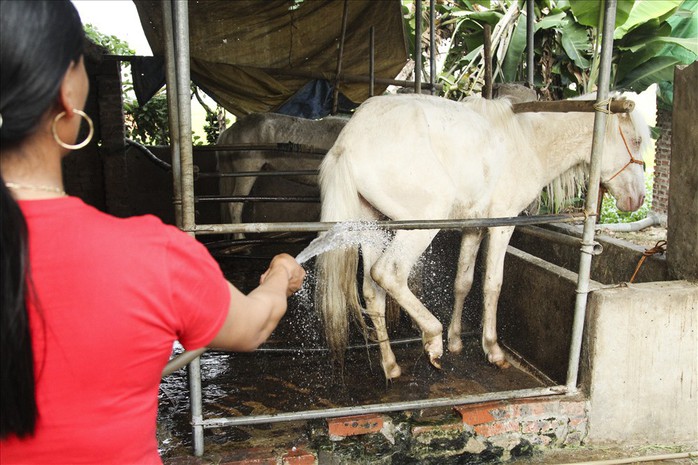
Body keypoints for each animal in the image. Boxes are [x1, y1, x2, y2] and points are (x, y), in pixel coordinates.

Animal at [316, 92, 648, 378]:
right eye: (636, 140)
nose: (638, 199)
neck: (528, 142)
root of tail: (348, 142)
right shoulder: (502, 224)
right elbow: (492, 284)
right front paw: (492, 349)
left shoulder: (473, 227)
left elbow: (463, 282)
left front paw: (456, 341)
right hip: (420, 225)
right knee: (388, 273)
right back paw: (432, 338)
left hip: (370, 225)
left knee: (373, 293)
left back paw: (391, 365)